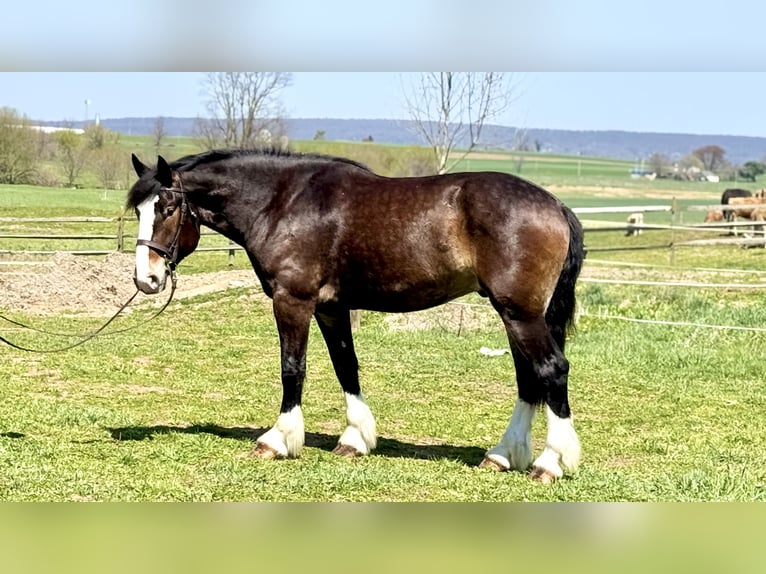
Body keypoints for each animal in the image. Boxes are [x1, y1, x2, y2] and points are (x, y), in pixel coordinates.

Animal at [126, 149, 585, 484]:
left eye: (168, 207)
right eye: (139, 211)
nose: (146, 278)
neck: (282, 203)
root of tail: (557, 205)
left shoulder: (293, 301)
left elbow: (292, 368)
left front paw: (278, 440)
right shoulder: (331, 307)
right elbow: (346, 366)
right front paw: (355, 439)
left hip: (520, 313)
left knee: (551, 370)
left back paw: (550, 463)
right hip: (515, 314)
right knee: (529, 380)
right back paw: (502, 456)